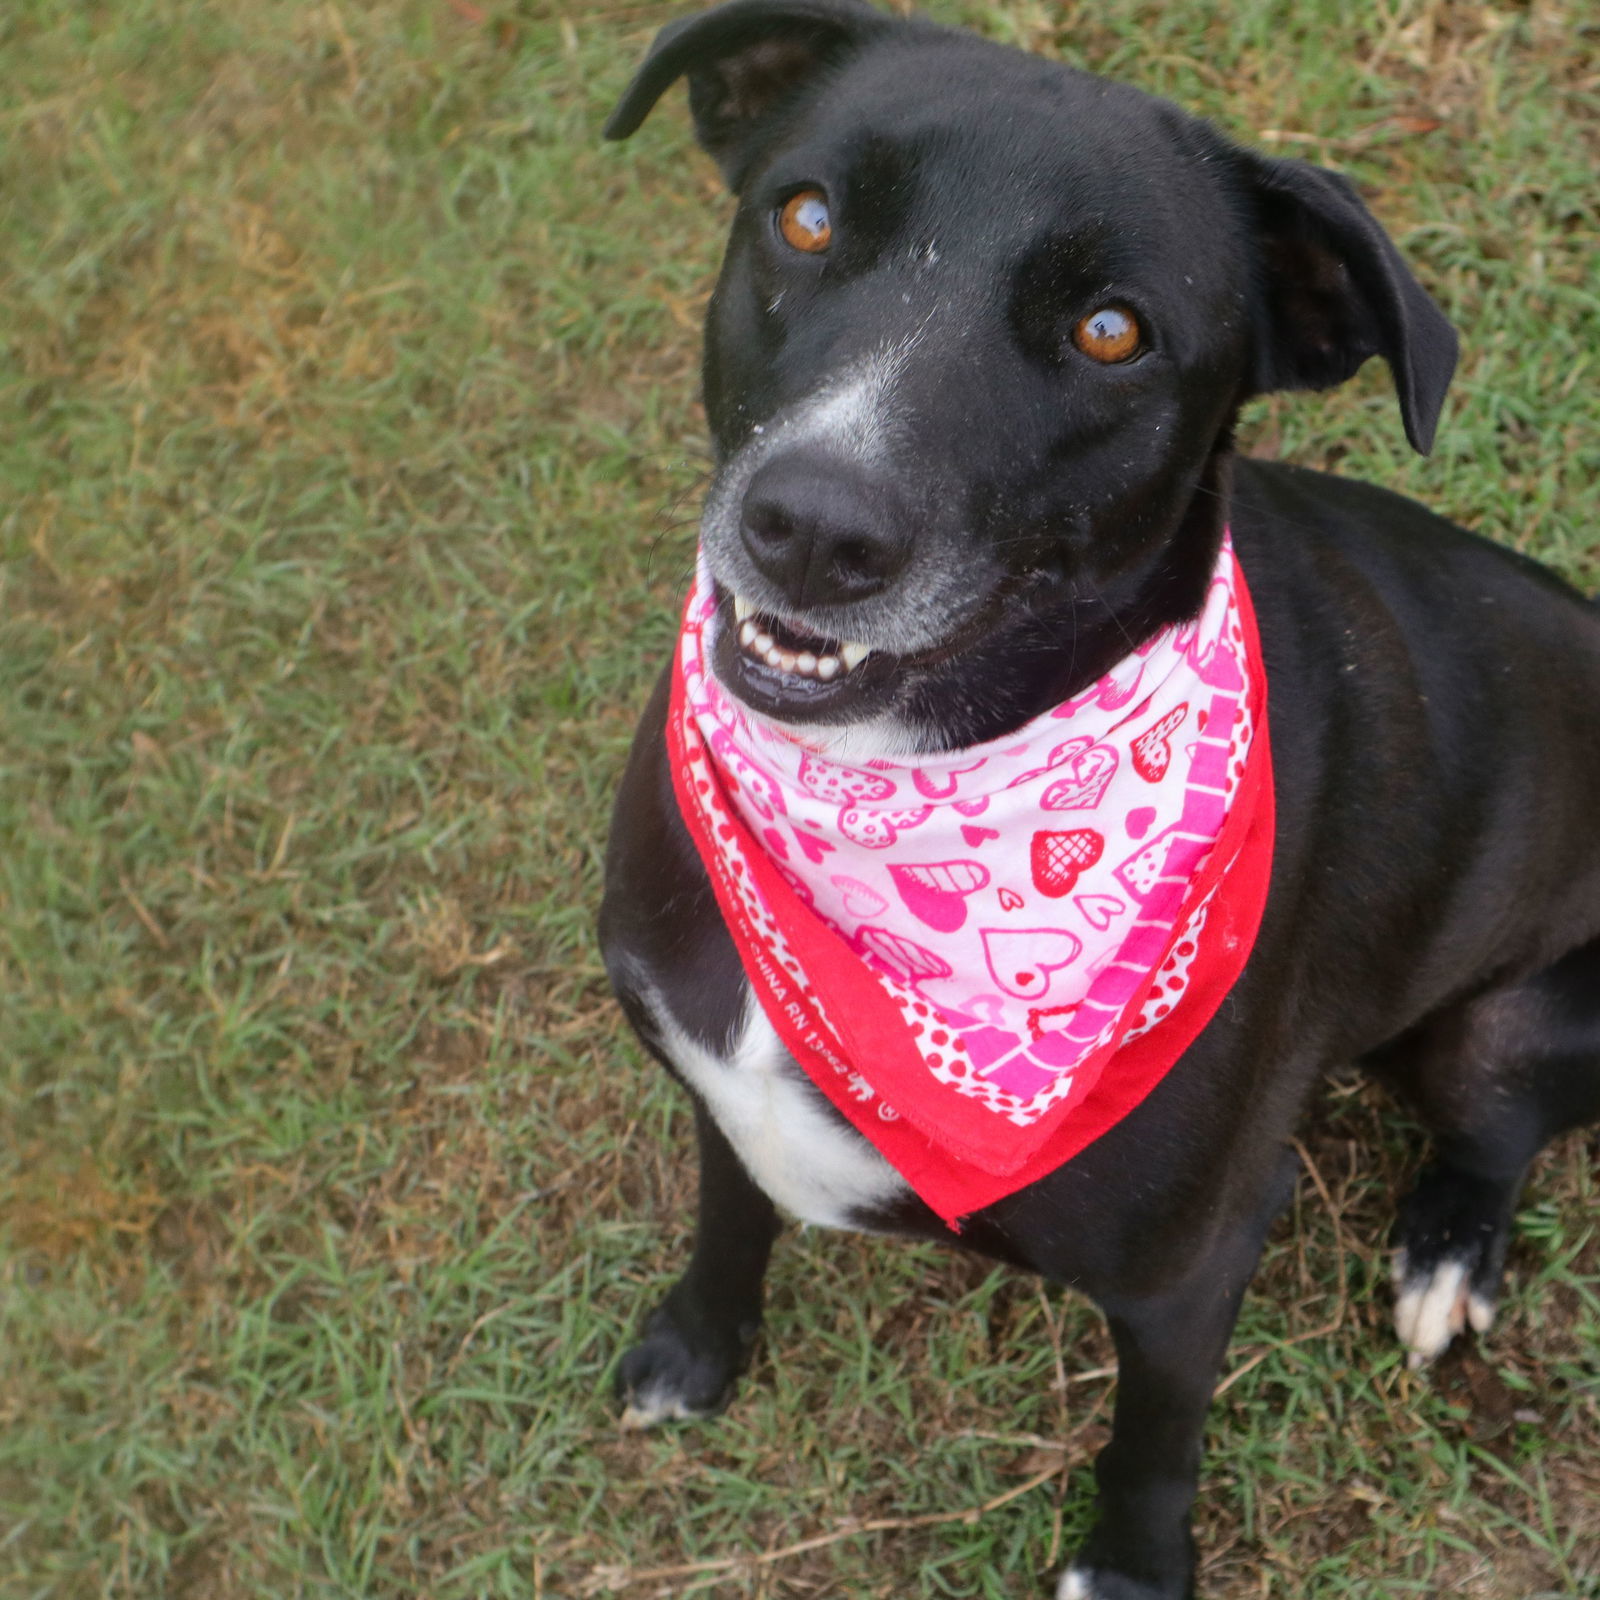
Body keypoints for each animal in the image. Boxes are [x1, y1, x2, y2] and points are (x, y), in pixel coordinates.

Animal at [595, 6, 1600, 1593]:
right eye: (805, 217)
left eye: (1110, 330)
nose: (811, 527)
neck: (888, 790)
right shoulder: (713, 1085)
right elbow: (726, 1211)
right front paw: (696, 1348)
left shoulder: (1189, 1267)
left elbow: (1154, 1439)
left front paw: (1127, 1567)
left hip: (1509, 1026)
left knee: (1497, 1133)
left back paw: (1447, 1253)